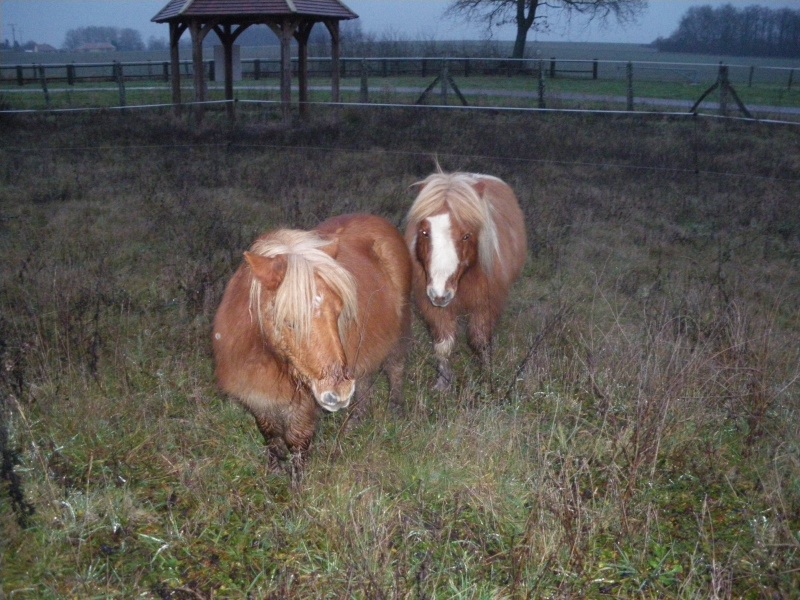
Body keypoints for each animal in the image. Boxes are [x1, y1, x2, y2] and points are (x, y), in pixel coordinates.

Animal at [212, 213, 412, 486]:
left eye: (339, 311)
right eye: (289, 321)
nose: (339, 392)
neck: (268, 358)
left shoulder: (304, 405)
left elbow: (297, 441)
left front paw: (297, 486)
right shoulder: (258, 398)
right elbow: (270, 435)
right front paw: (275, 470)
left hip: (399, 334)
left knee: (395, 369)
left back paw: (396, 410)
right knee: (365, 383)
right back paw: (355, 422)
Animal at [404, 171, 528, 392]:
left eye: (466, 236)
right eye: (425, 232)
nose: (440, 294)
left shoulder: (486, 305)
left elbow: (481, 342)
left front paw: (487, 379)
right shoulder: (434, 308)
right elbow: (443, 345)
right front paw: (443, 383)